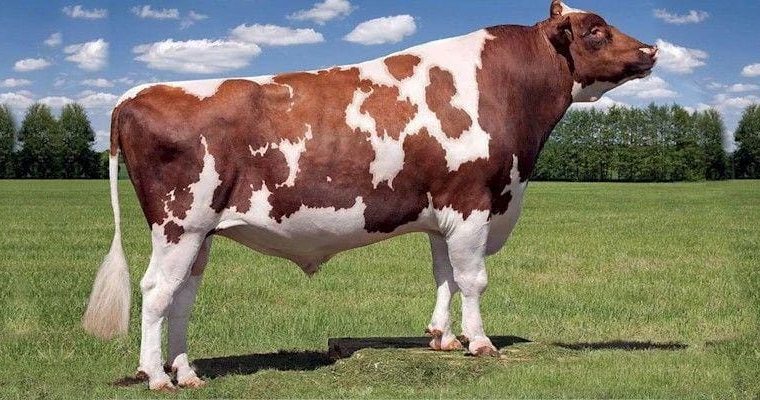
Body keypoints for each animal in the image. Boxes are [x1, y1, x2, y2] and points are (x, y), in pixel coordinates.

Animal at [83, 1, 657, 390]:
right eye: (596, 30)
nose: (652, 49)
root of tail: (135, 95)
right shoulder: (473, 202)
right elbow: (473, 280)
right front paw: (480, 343)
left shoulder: (443, 213)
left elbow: (445, 275)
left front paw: (442, 337)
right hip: (178, 224)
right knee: (156, 291)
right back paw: (156, 375)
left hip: (200, 234)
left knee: (181, 297)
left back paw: (187, 372)